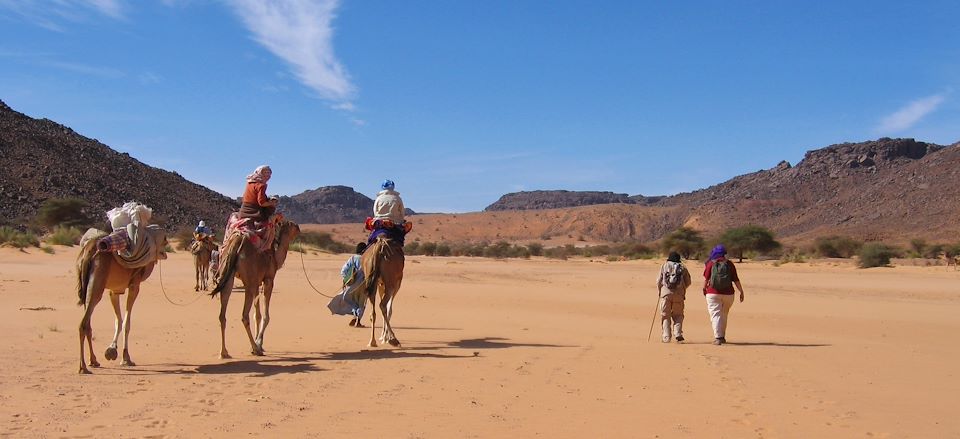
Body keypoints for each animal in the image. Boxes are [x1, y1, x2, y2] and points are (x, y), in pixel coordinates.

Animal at [76, 229, 166, 376]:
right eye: (164, 239)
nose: (165, 250)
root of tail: (89, 249)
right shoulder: (134, 285)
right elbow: (126, 323)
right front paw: (126, 358)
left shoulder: (115, 290)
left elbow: (118, 320)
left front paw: (112, 351)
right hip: (97, 283)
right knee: (83, 324)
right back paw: (83, 367)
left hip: (85, 287)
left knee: (88, 323)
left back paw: (93, 361)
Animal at [210, 222, 300, 360]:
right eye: (292, 225)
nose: (299, 228)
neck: (275, 258)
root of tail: (238, 240)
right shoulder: (268, 280)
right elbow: (266, 316)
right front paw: (259, 344)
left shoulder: (257, 282)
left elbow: (257, 315)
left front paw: (259, 343)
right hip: (249, 281)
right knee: (244, 315)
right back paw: (255, 349)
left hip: (228, 275)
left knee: (222, 315)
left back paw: (224, 352)